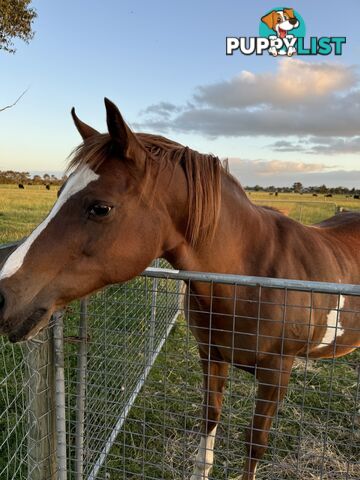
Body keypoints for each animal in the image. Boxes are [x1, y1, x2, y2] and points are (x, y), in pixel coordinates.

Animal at [0, 98, 360, 480]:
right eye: (58, 193)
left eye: (100, 207)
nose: (2, 295)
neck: (252, 280)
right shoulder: (211, 357)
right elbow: (209, 420)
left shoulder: (276, 374)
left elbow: (254, 444)